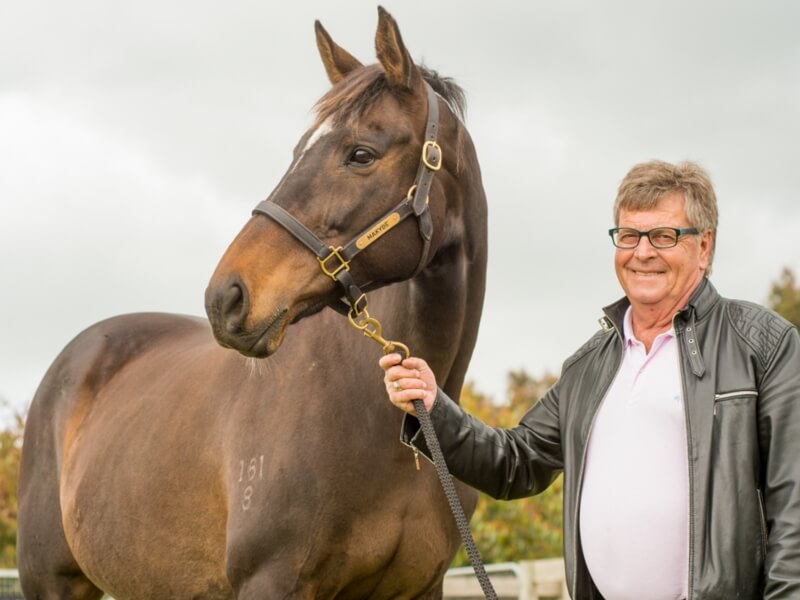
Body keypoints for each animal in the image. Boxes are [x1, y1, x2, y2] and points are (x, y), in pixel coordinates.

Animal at [17, 7, 488, 596]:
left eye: (360, 153)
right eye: (296, 152)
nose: (226, 298)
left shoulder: (422, 587)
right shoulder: (271, 579)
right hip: (53, 581)